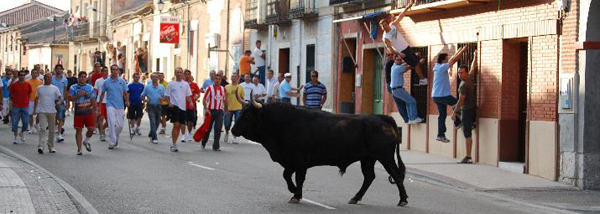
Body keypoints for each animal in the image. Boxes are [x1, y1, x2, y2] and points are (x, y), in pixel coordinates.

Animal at [232, 100, 410, 207]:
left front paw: (296, 195)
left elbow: (298, 177)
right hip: (368, 159)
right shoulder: (290, 161)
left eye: (248, 114)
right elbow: (286, 175)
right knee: (369, 177)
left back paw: (403, 200)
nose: (233, 130)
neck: (281, 122)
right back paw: (355, 198)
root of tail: (382, 118)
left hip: (385, 157)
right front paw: (294, 191)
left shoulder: (299, 160)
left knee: (396, 175)